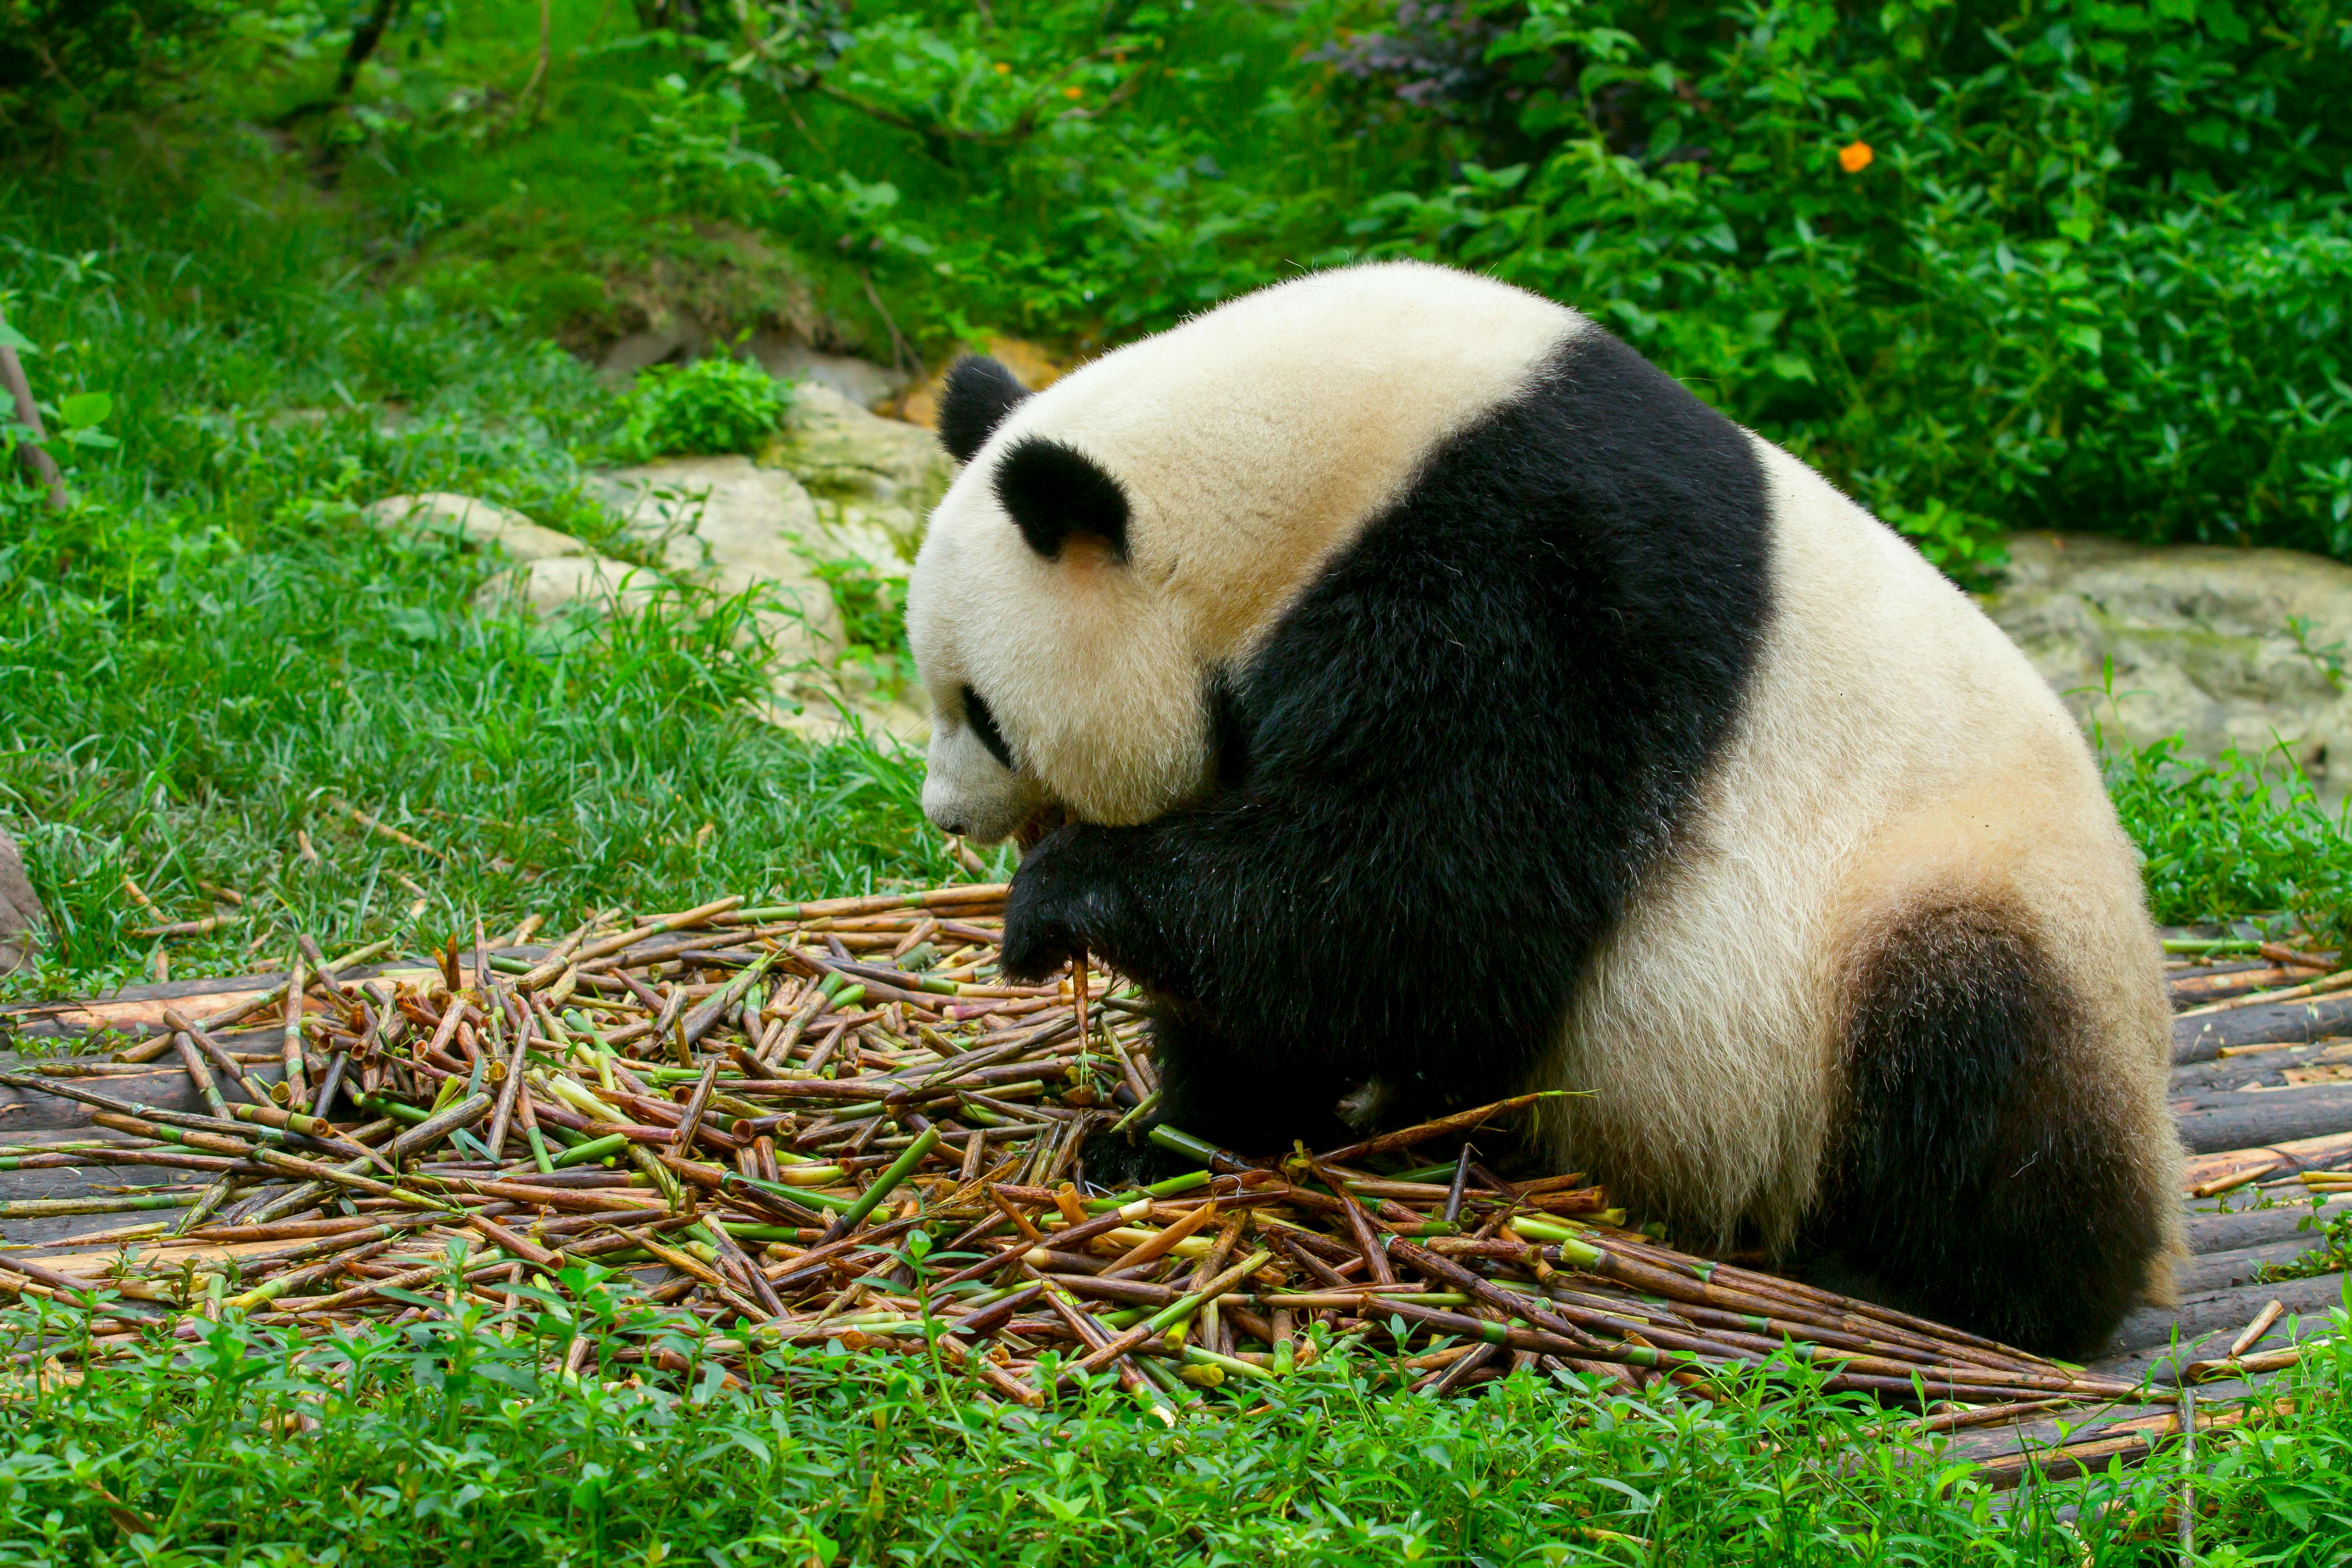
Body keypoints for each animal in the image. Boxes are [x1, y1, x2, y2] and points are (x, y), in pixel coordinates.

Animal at [906, 261, 2181, 1358]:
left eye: (984, 712)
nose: (945, 816)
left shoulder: (1534, 578)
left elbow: (1420, 900)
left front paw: (1057, 903)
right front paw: (1168, 1137)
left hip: (1959, 902)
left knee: (1972, 1055)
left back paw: (1934, 1284)